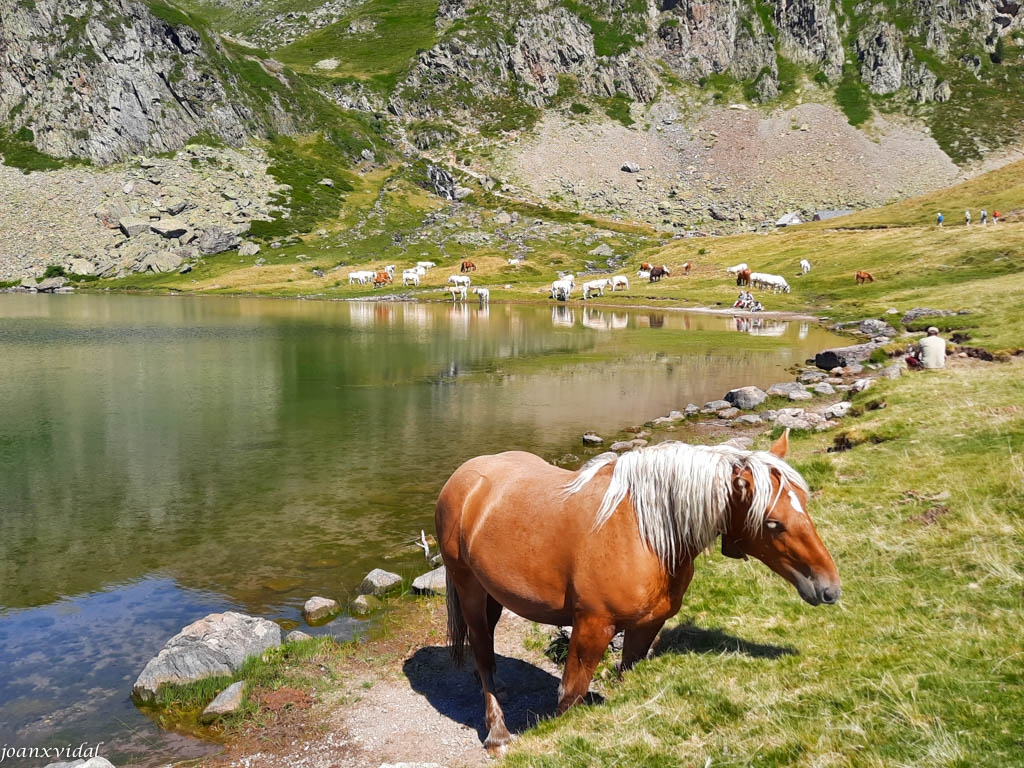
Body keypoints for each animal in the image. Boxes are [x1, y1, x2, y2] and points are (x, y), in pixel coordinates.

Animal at [432, 436, 839, 753]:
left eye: (805, 504)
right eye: (774, 523)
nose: (829, 588)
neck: (646, 533)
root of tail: (462, 479)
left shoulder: (646, 626)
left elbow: (627, 675)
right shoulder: (592, 627)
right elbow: (570, 695)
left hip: (493, 594)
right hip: (469, 587)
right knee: (481, 649)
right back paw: (497, 732)